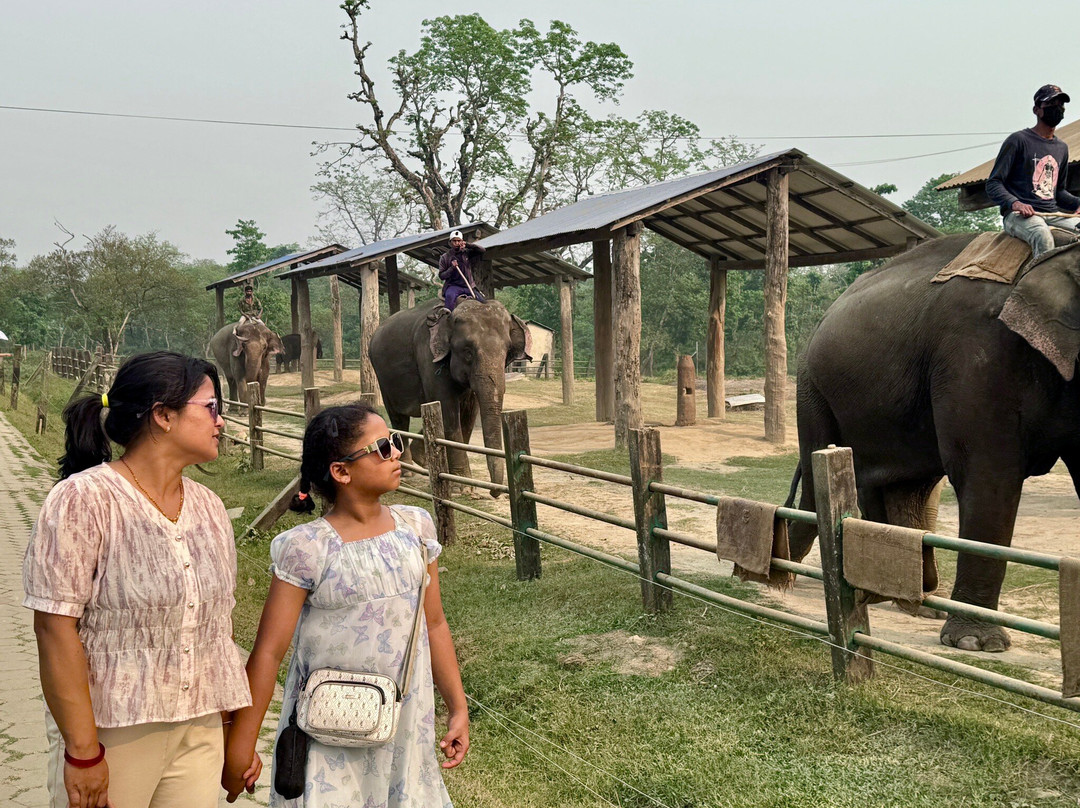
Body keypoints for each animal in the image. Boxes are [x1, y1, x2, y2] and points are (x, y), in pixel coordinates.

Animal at [369, 298, 530, 489]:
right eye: (468, 352)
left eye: (507, 353)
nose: (494, 492)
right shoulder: (428, 355)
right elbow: (447, 409)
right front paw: (462, 488)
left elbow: (469, 413)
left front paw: (464, 481)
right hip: (383, 377)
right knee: (398, 417)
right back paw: (407, 471)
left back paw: (421, 461)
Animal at [791, 232, 1080, 653]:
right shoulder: (979, 356)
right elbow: (989, 474)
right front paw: (976, 644)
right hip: (811, 387)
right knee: (821, 484)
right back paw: (782, 577)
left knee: (901, 485)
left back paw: (911, 601)